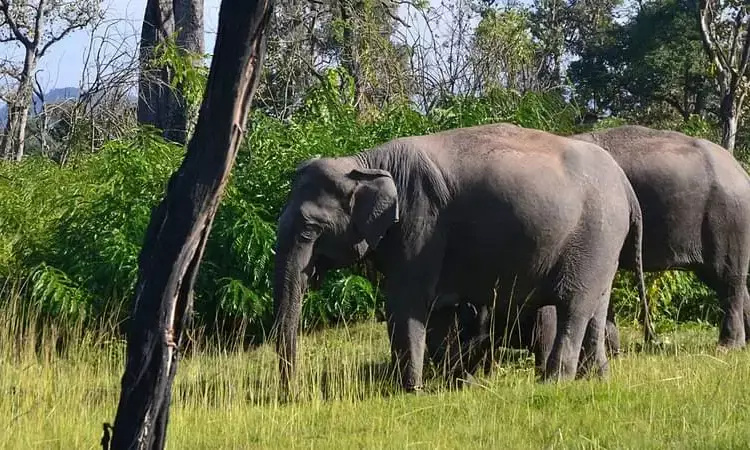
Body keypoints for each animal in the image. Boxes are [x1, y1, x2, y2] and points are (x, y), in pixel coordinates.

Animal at [272, 122, 648, 393]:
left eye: (309, 230)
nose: (293, 395)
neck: (364, 162)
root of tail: (626, 186)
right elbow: (438, 312)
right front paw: (455, 385)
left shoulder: (421, 223)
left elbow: (406, 303)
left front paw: (410, 391)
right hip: (603, 246)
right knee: (597, 306)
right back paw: (596, 379)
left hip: (593, 236)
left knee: (574, 305)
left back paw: (553, 383)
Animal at [428, 124, 750, 378]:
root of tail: (740, 170)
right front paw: (613, 353)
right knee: (727, 280)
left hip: (727, 218)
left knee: (728, 278)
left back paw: (727, 347)